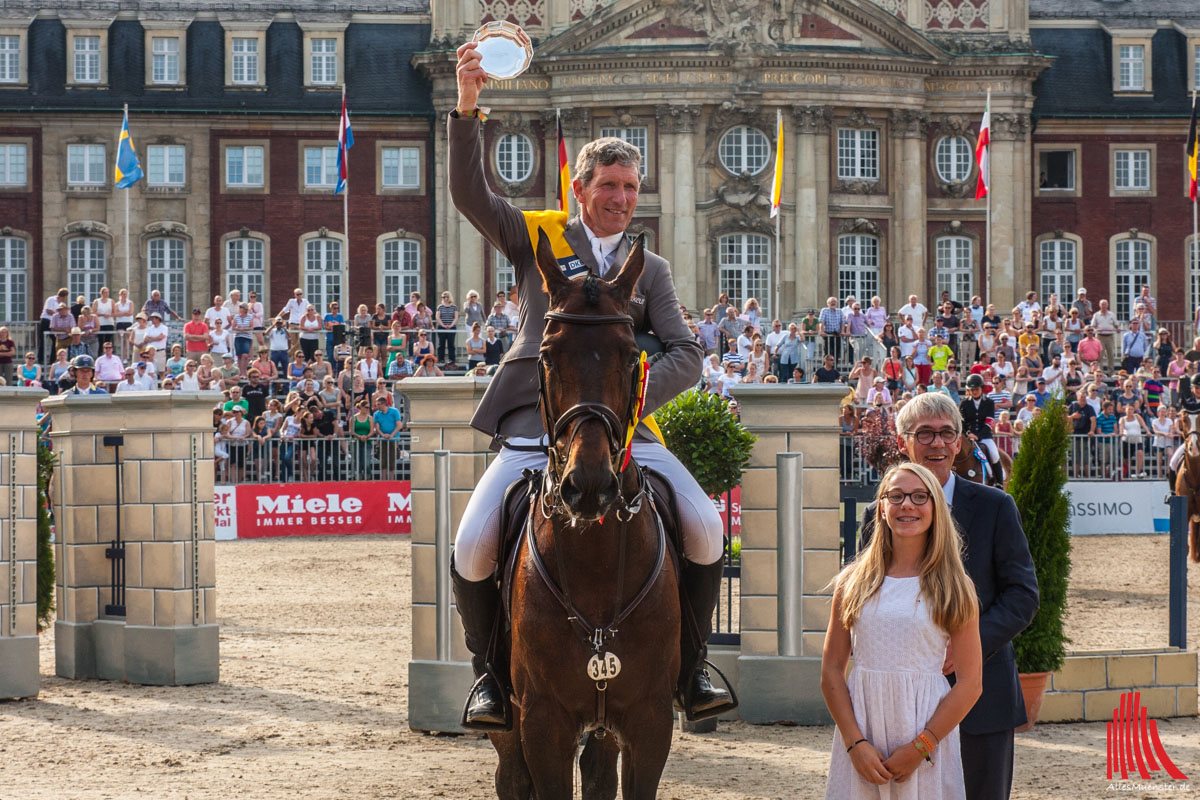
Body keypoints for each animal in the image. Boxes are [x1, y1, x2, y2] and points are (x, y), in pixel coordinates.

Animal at [484, 227, 676, 796]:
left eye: (631, 356)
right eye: (548, 355)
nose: (588, 486)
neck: (595, 562)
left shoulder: (650, 722)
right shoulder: (542, 722)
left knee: (597, 775)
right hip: (510, 721)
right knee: (511, 777)